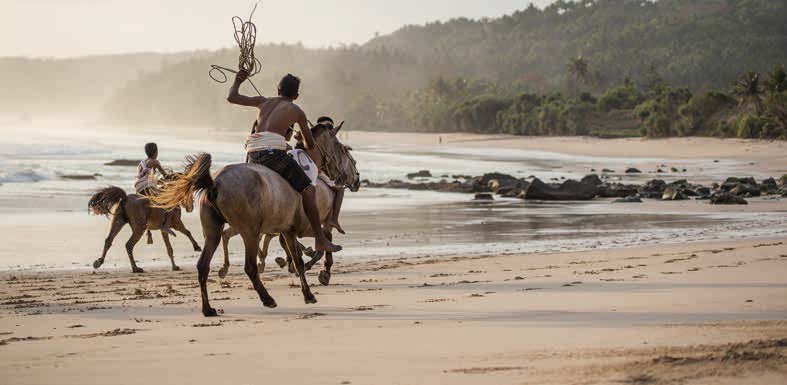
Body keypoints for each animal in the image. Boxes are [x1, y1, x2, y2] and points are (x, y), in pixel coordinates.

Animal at [153, 126, 360, 316]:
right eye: (342, 148)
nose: (353, 178)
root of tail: (215, 182)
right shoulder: (302, 228)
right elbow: (316, 244)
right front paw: (319, 274)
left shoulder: (288, 230)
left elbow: (298, 260)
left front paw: (308, 291)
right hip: (249, 232)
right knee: (250, 267)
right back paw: (267, 298)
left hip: (212, 232)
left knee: (203, 265)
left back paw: (208, 308)